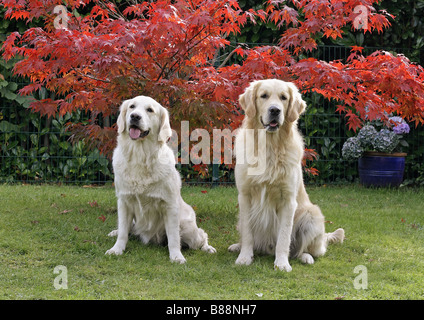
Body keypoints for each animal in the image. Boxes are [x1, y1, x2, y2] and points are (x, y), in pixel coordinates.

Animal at [105, 95, 217, 262]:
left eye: (150, 110)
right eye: (132, 107)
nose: (135, 117)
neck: (140, 156)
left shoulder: (170, 205)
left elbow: (174, 238)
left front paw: (176, 256)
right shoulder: (124, 201)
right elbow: (124, 231)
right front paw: (117, 249)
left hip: (188, 228)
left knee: (202, 235)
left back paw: (208, 248)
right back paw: (115, 232)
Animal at [229, 79, 344, 272]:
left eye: (283, 97)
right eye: (264, 96)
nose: (275, 110)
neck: (269, 147)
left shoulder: (288, 200)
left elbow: (284, 237)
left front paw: (282, 263)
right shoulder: (244, 196)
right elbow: (247, 233)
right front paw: (244, 257)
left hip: (312, 216)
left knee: (304, 250)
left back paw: (306, 257)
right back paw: (237, 246)